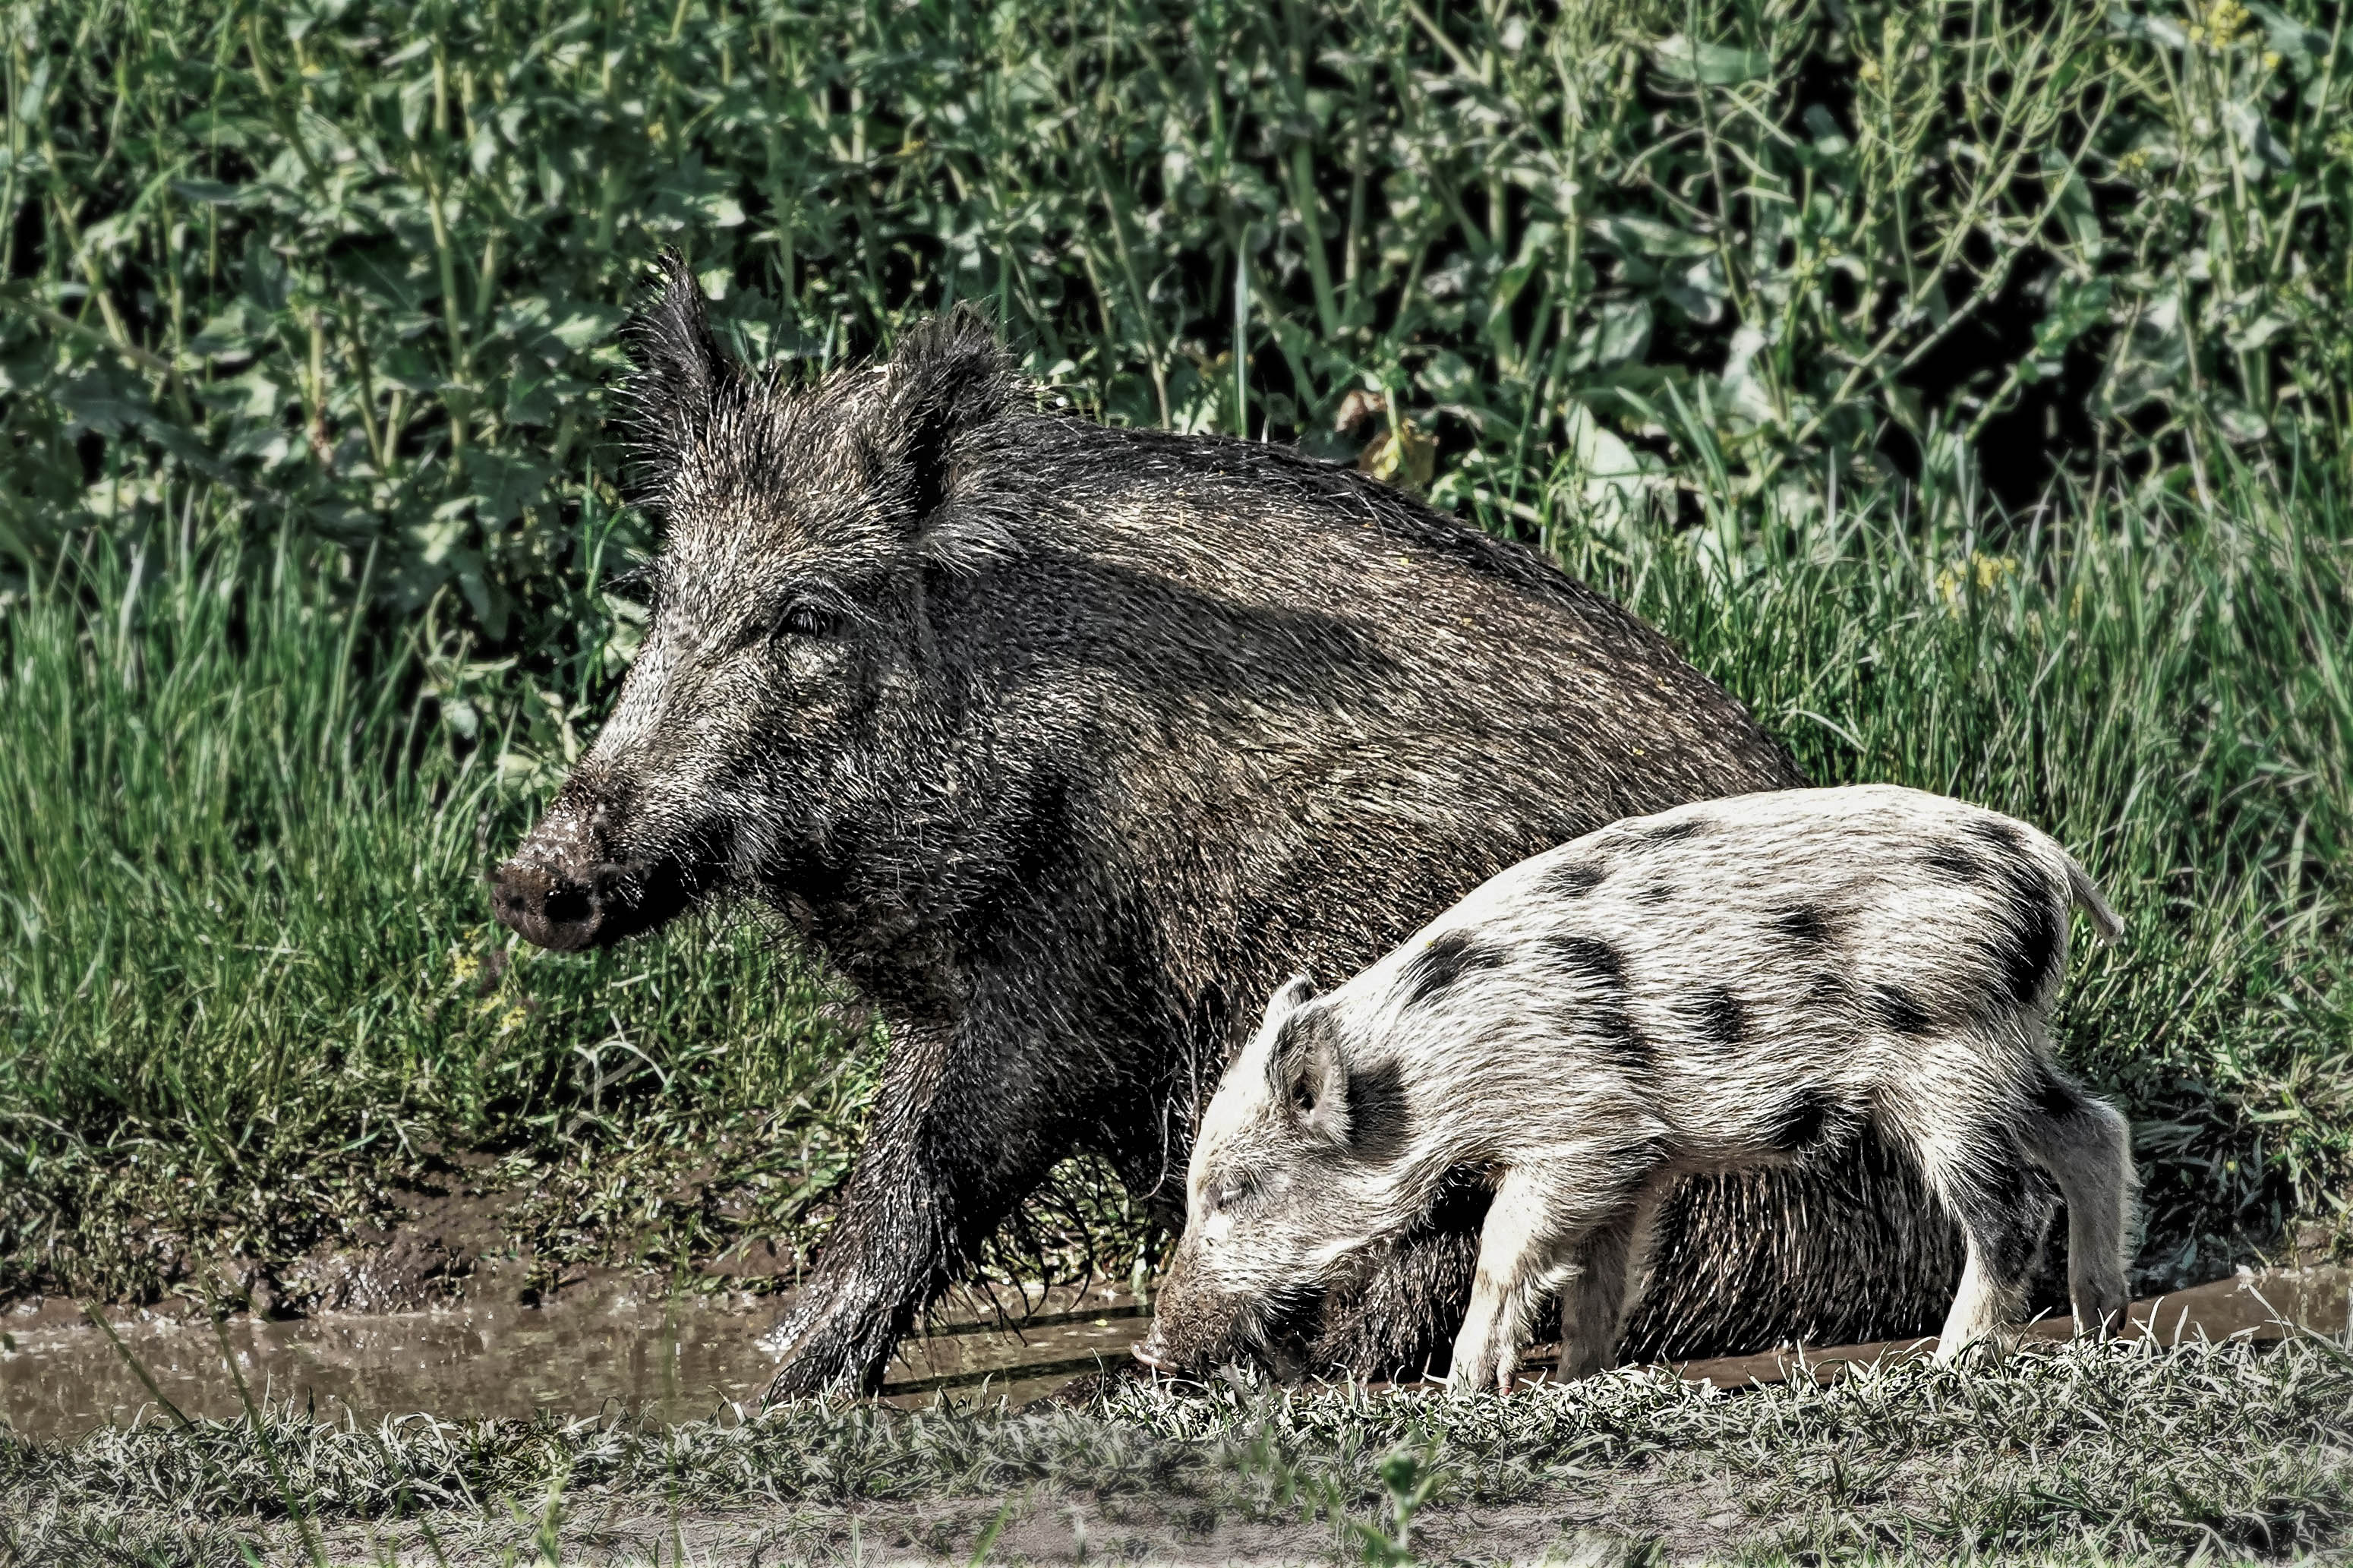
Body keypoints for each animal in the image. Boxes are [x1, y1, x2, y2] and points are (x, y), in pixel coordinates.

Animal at [494, 254, 1965, 1398]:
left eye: (805, 613)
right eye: (663, 594)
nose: (529, 878)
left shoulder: (1059, 980)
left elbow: (924, 1175)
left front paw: (782, 1387)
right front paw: (762, 1376)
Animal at [1136, 785, 2135, 1391]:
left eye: (1233, 1191)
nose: (1150, 1342)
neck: (1431, 1077)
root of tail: (2044, 857)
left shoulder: (1581, 1128)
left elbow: (1504, 1244)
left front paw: (1465, 1386)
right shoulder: (1635, 1160)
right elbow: (1601, 1273)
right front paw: (1576, 1375)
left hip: (1948, 1053)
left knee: (2013, 1205)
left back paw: (1949, 1363)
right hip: (2008, 1044)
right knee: (2095, 1126)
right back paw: (2102, 1325)